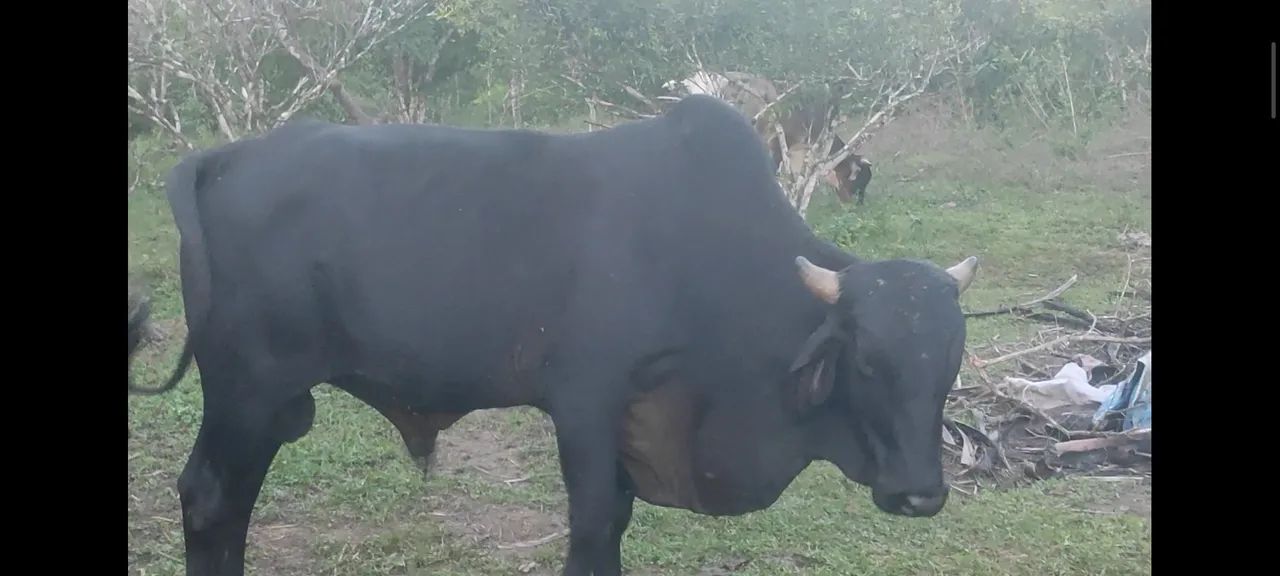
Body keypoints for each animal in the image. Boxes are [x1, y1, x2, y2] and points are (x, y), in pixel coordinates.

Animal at [129, 94, 977, 576]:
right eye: (866, 360)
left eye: (948, 368)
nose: (920, 494)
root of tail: (221, 158)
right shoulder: (586, 403)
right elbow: (595, 527)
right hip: (246, 388)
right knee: (208, 498)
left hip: (271, 405)